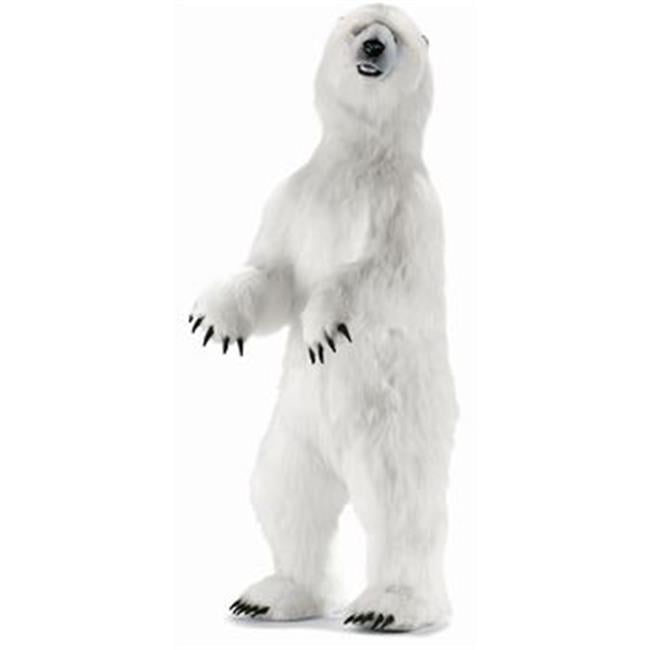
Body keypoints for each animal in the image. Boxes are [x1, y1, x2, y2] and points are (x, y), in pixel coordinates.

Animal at [188, 3, 458, 633]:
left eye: (397, 33)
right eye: (358, 26)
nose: (374, 47)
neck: (360, 158)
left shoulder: (407, 206)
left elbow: (382, 276)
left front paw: (324, 326)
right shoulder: (295, 196)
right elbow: (274, 273)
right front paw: (213, 318)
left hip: (396, 430)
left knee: (400, 509)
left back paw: (389, 606)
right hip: (295, 429)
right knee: (286, 493)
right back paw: (268, 594)